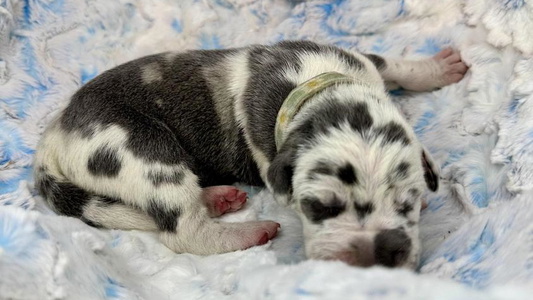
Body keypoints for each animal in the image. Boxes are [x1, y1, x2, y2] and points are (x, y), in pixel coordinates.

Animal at [33, 39, 466, 268]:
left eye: (406, 202)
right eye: (317, 207)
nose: (373, 262)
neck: (314, 85)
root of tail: (55, 132)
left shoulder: (360, 61)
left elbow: (391, 63)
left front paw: (437, 69)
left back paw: (216, 198)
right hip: (146, 152)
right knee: (183, 230)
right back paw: (245, 231)